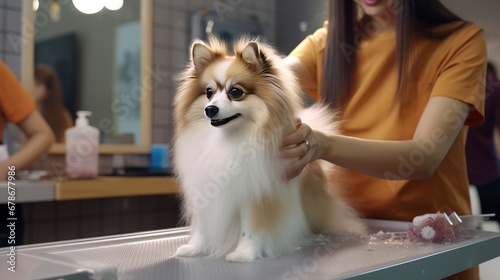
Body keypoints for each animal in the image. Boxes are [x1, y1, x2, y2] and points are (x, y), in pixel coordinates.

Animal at [174, 37, 366, 262]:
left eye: (235, 92)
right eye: (208, 92)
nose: (210, 109)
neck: (230, 138)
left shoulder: (256, 194)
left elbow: (251, 229)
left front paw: (244, 253)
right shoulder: (206, 190)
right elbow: (203, 228)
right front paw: (195, 248)